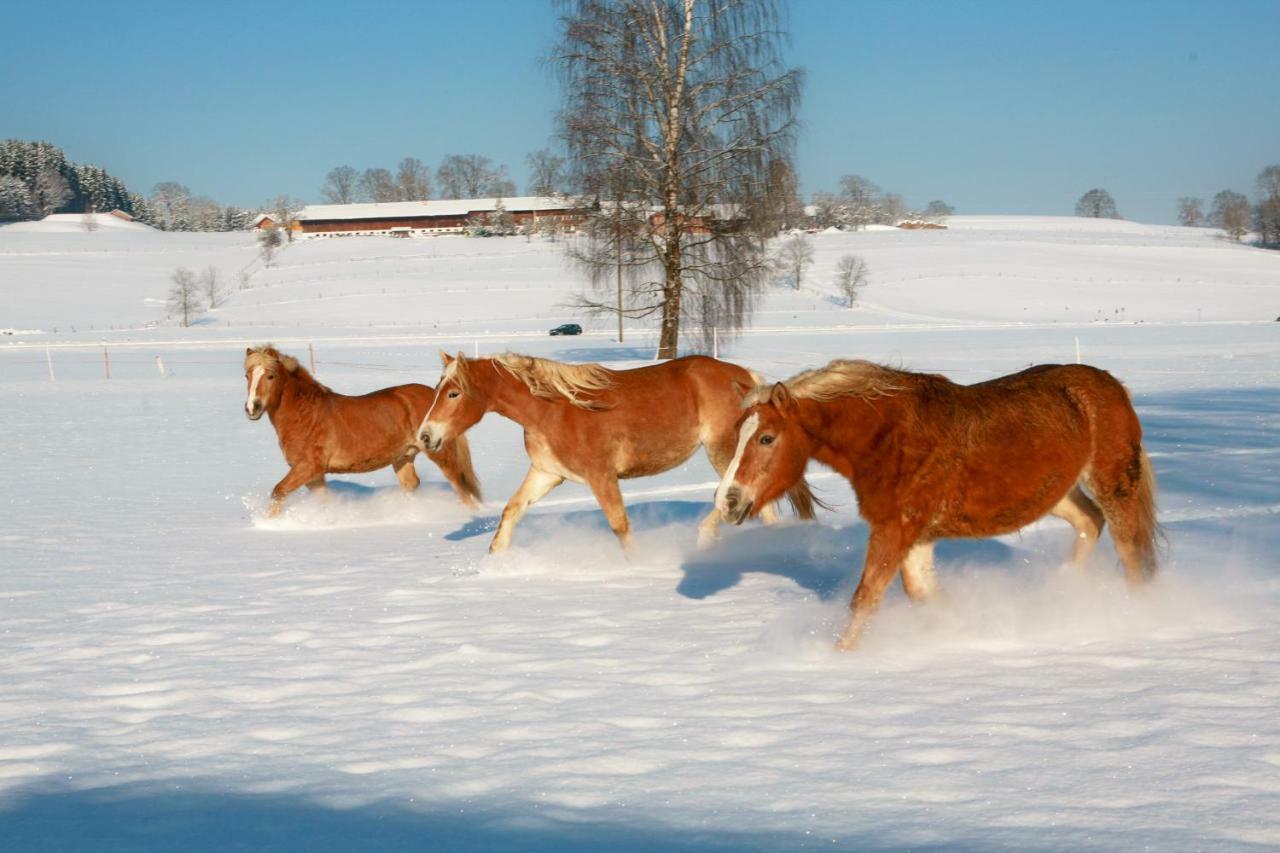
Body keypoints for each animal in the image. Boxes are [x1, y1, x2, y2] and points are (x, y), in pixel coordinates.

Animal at [241, 343, 481, 514]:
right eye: (247, 375)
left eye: (270, 375)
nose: (252, 408)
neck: (305, 414)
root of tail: (437, 396)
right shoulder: (313, 476)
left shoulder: (306, 468)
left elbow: (278, 492)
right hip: (402, 458)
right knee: (412, 485)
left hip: (440, 454)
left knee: (462, 489)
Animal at [419, 350, 819, 550]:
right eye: (438, 389)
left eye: (453, 392)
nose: (425, 436)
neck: (551, 409)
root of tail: (747, 380)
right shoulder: (547, 473)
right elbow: (511, 512)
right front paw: (493, 565)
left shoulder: (601, 477)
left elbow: (620, 526)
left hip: (724, 452)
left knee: (743, 504)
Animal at [716, 356, 1167, 645]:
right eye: (738, 433)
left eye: (766, 438)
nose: (727, 501)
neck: (887, 438)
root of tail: (1114, 386)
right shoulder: (917, 536)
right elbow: (923, 594)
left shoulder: (894, 529)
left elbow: (865, 600)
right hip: (1058, 491)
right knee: (1090, 523)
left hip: (1114, 486)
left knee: (1132, 554)